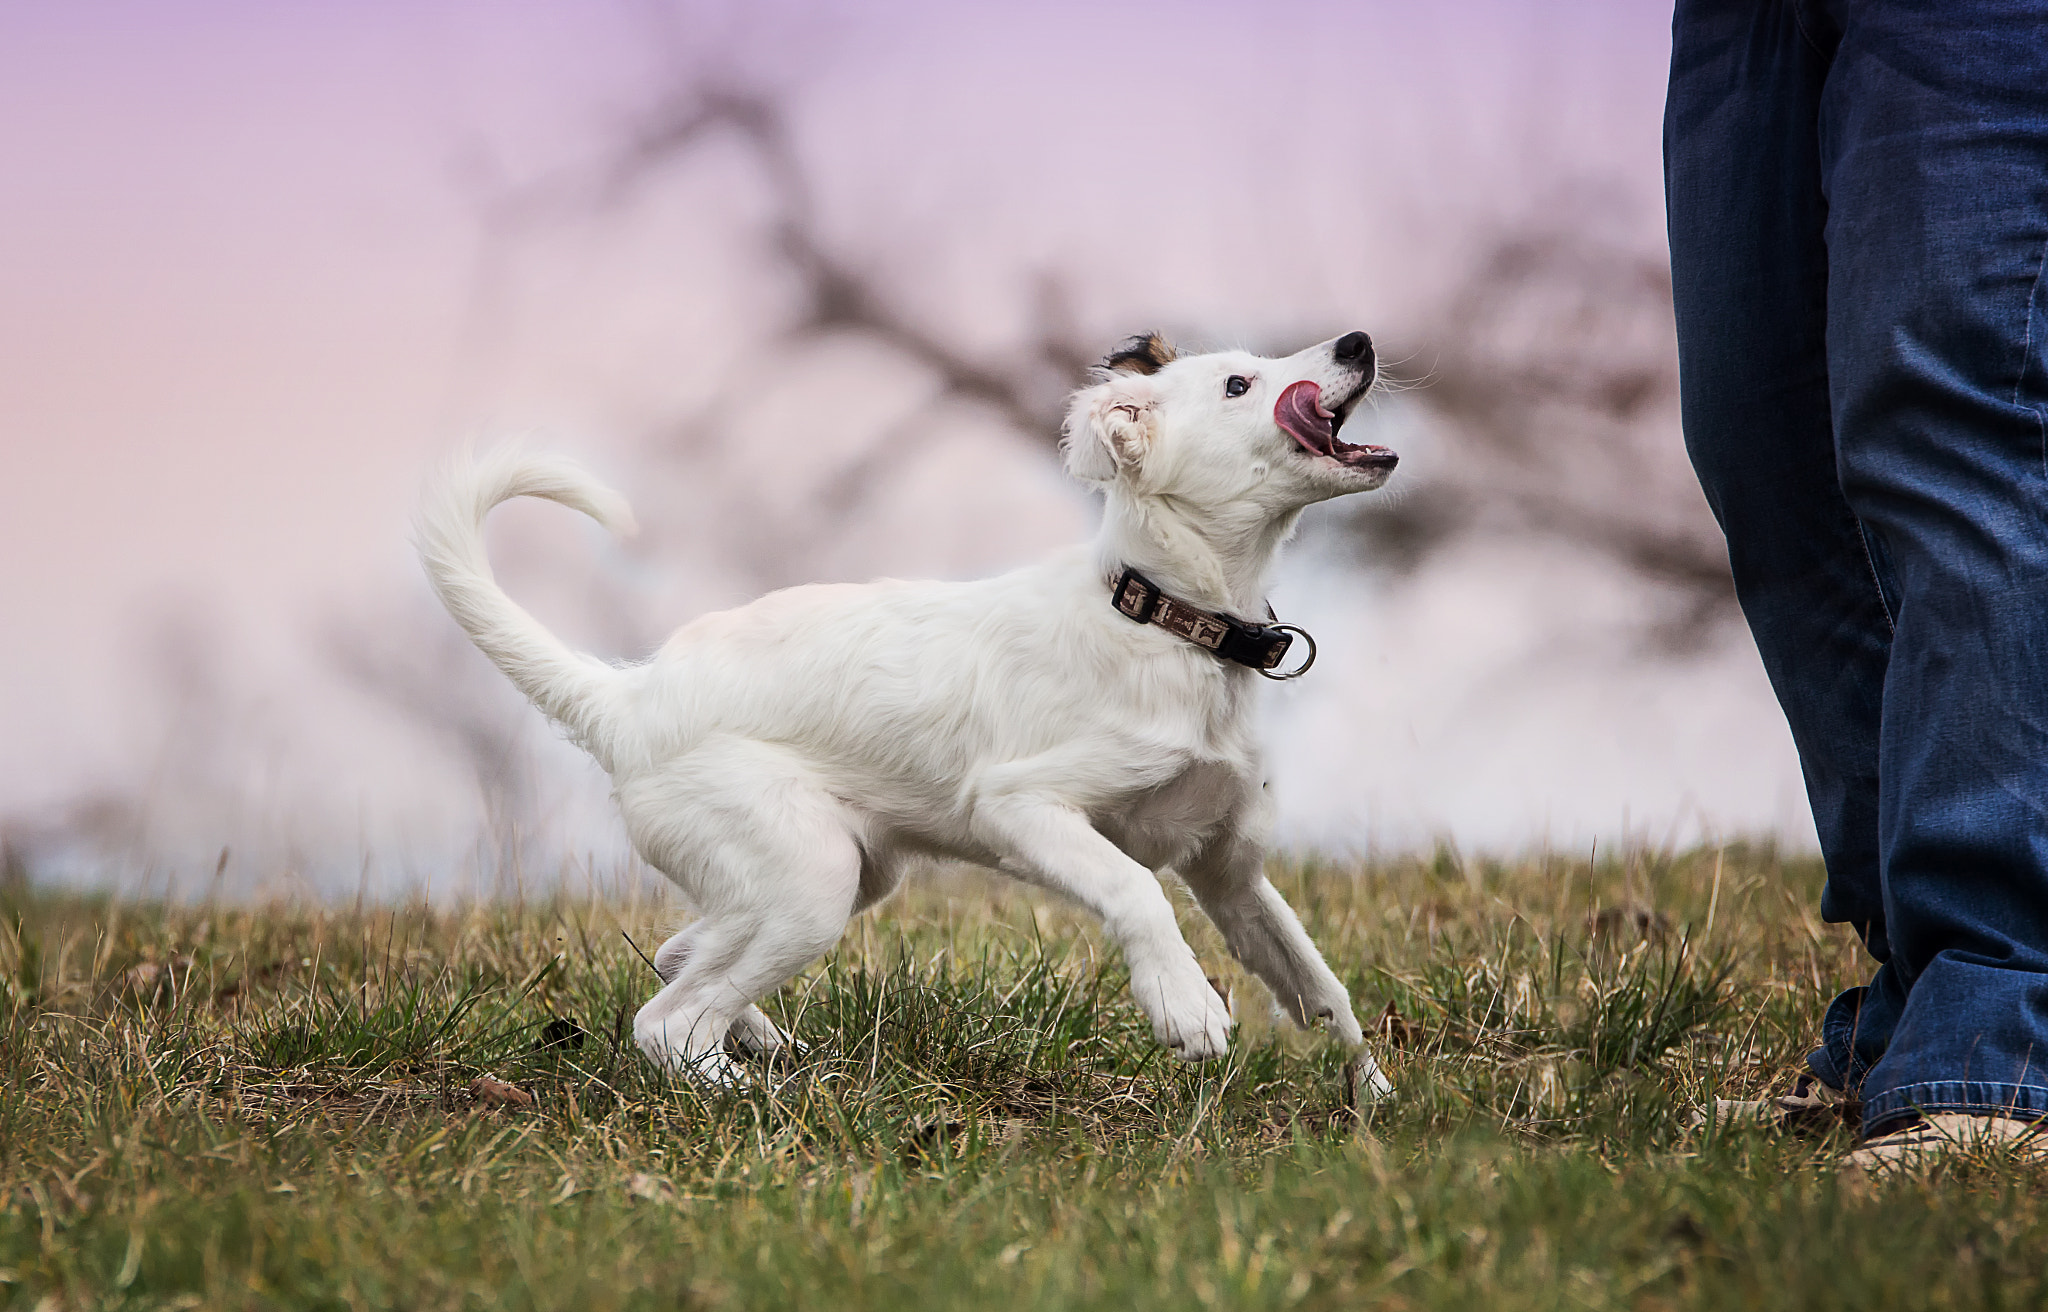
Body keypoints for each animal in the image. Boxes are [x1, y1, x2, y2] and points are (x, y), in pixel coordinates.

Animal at [423, 327, 1400, 1080]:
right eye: (1238, 384)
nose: (1358, 342)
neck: (1169, 620)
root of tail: (625, 698)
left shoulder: (1229, 868)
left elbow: (1321, 986)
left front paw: (1373, 1099)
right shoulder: (1020, 804)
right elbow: (1134, 889)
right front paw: (1184, 1005)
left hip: (835, 873)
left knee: (679, 959)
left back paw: (766, 1046)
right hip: (809, 880)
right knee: (666, 1024)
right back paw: (759, 1096)